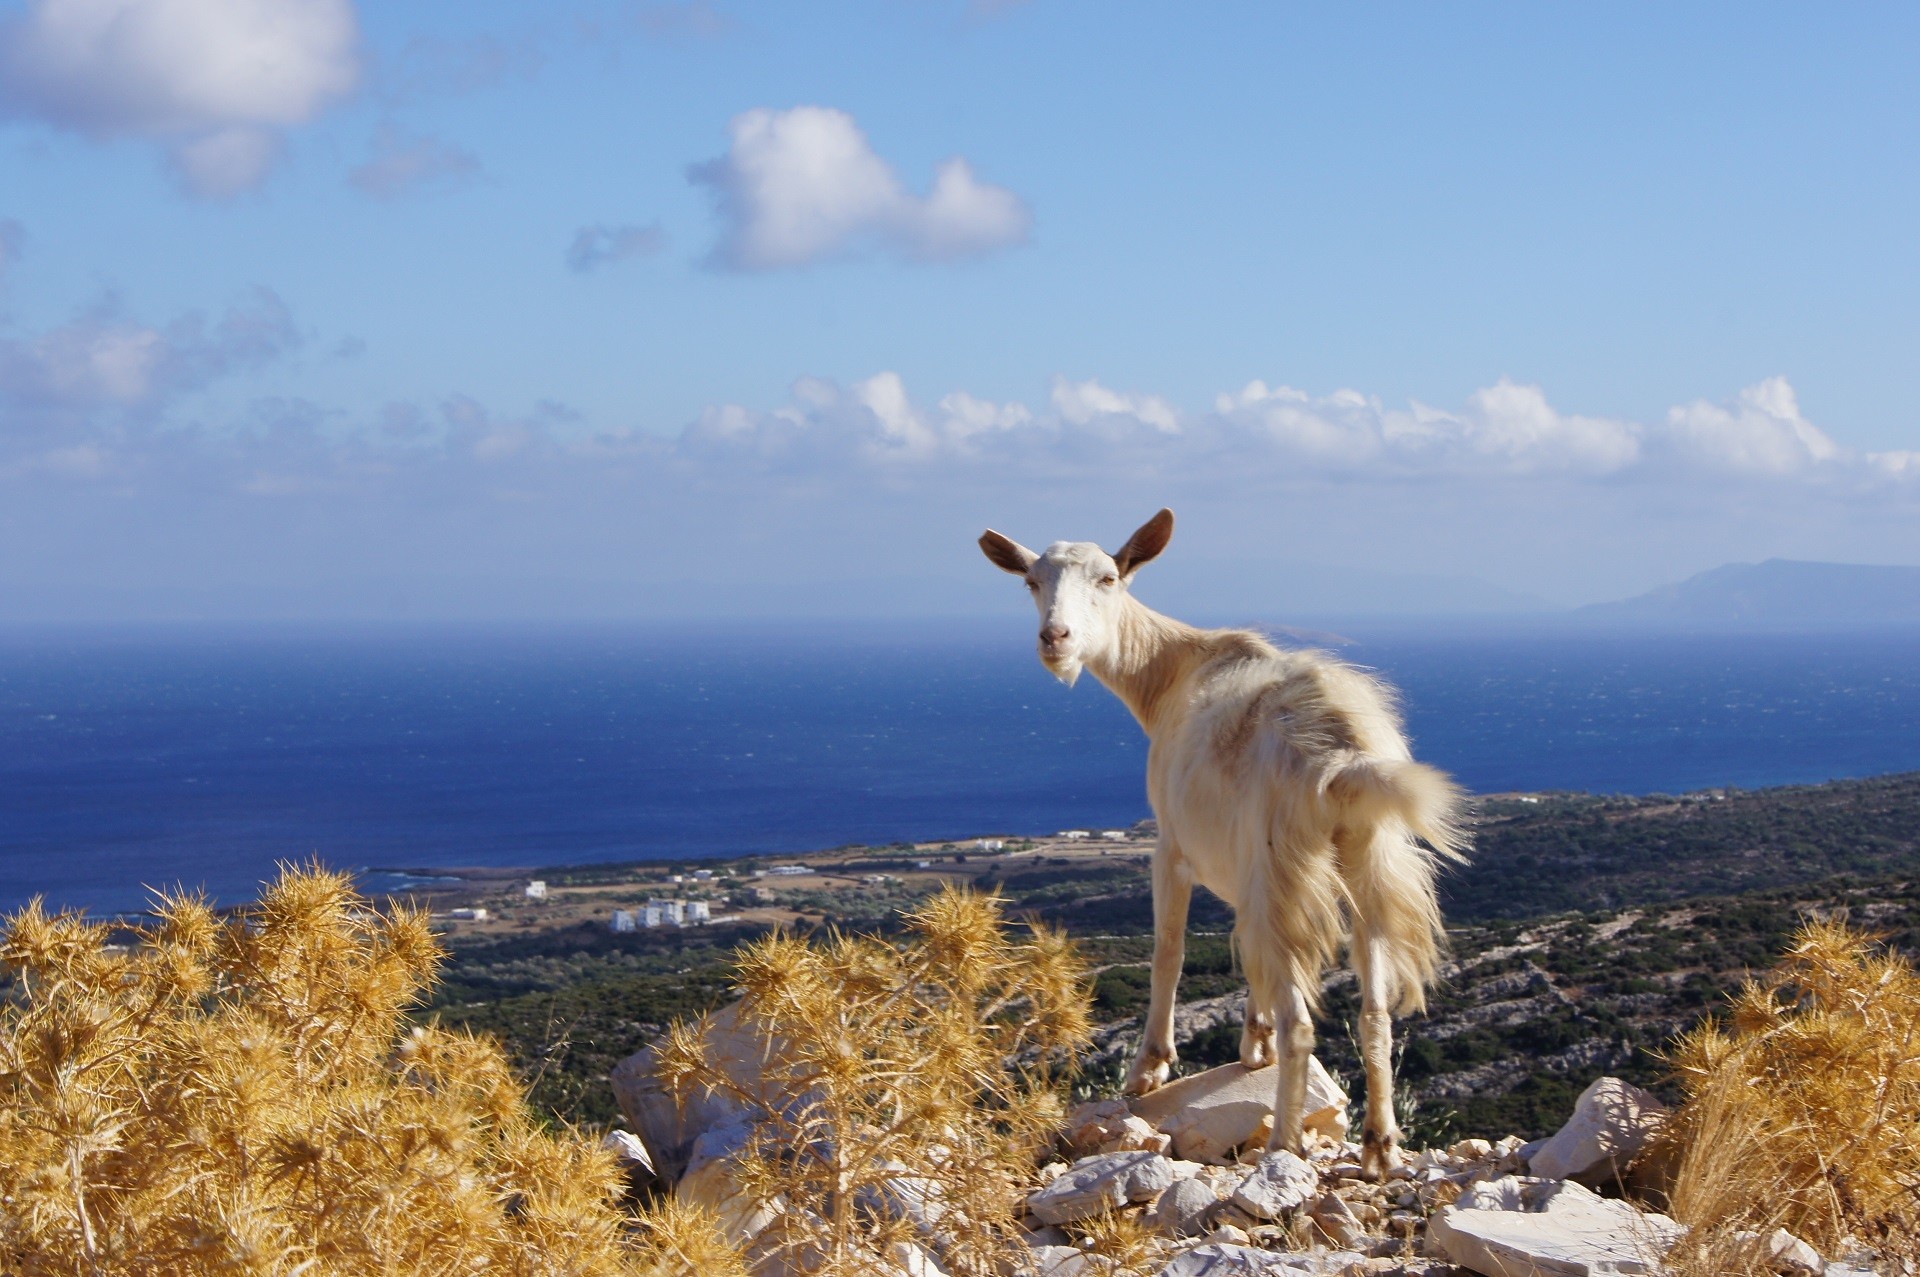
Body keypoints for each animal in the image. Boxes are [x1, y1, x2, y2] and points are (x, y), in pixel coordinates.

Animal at [983, 506, 1459, 1175]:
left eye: (1108, 577)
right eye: (1030, 581)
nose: (1057, 639)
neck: (1173, 672)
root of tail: (1342, 753)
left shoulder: (1174, 846)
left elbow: (1170, 950)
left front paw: (1149, 1068)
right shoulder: (1242, 869)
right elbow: (1244, 949)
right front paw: (1253, 1043)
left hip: (1283, 861)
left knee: (1301, 1021)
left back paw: (1283, 1145)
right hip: (1365, 861)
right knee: (1373, 1011)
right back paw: (1379, 1147)